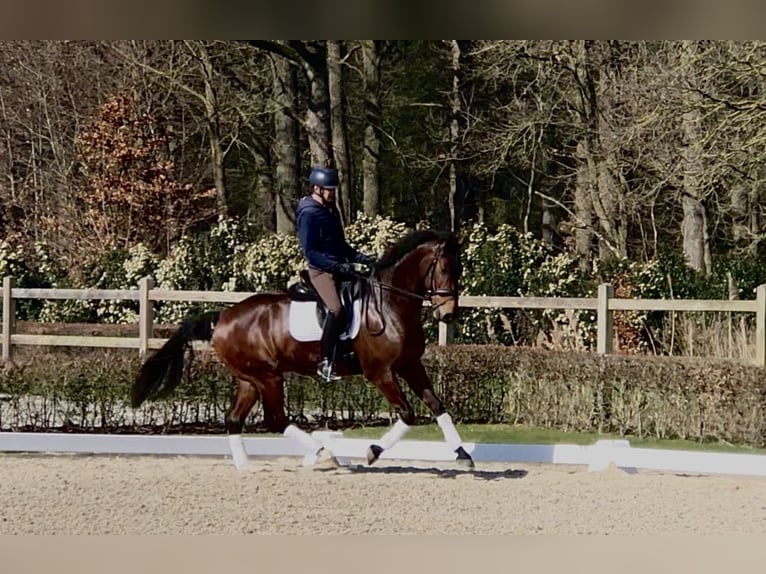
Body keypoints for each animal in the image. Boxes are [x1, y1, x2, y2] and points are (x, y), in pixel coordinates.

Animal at [131, 229, 474, 470]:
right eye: (445, 269)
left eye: (459, 270)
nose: (448, 315)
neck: (390, 305)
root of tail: (223, 316)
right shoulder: (381, 372)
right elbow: (407, 413)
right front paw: (372, 452)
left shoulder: (410, 365)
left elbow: (438, 406)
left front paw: (462, 454)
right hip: (268, 377)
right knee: (275, 420)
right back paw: (323, 454)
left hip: (249, 379)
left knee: (234, 418)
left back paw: (244, 466)